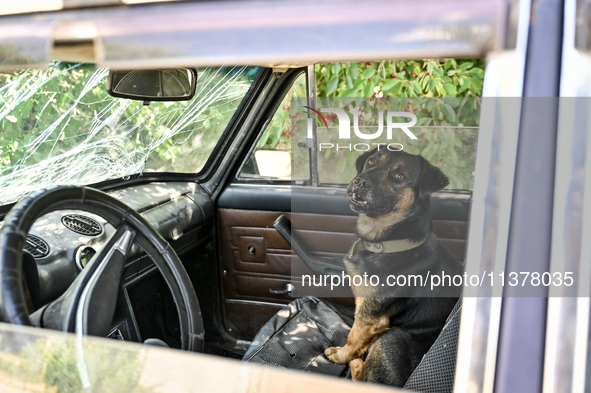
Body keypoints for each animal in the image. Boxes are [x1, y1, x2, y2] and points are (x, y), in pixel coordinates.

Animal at [324, 149, 462, 386]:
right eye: (371, 162)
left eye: (400, 176)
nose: (360, 182)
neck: (388, 244)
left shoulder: (371, 317)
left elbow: (353, 338)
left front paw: (342, 355)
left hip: (391, 340)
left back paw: (356, 362)